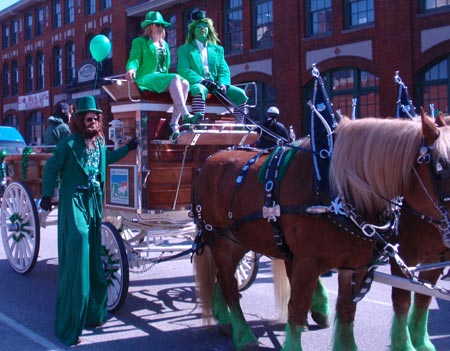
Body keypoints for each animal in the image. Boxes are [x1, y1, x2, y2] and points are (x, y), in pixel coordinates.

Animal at [192, 113, 450, 351]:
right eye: (440, 171)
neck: (335, 190)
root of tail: (209, 160)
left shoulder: (357, 265)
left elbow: (348, 309)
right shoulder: (310, 262)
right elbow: (297, 308)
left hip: (242, 240)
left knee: (226, 277)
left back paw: (226, 320)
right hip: (220, 239)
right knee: (229, 285)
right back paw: (243, 334)